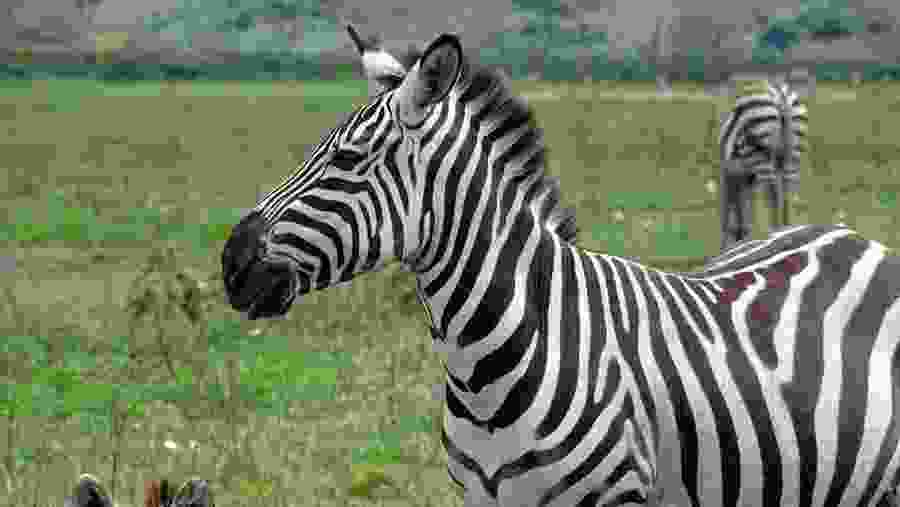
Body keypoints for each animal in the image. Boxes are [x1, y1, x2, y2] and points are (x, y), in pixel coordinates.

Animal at [719, 77, 808, 251]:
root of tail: (779, 95)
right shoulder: (747, 178)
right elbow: (747, 210)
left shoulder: (730, 174)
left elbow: (727, 215)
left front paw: (726, 248)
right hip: (792, 153)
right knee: (787, 192)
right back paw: (787, 229)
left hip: (762, 155)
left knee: (772, 192)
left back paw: (776, 232)